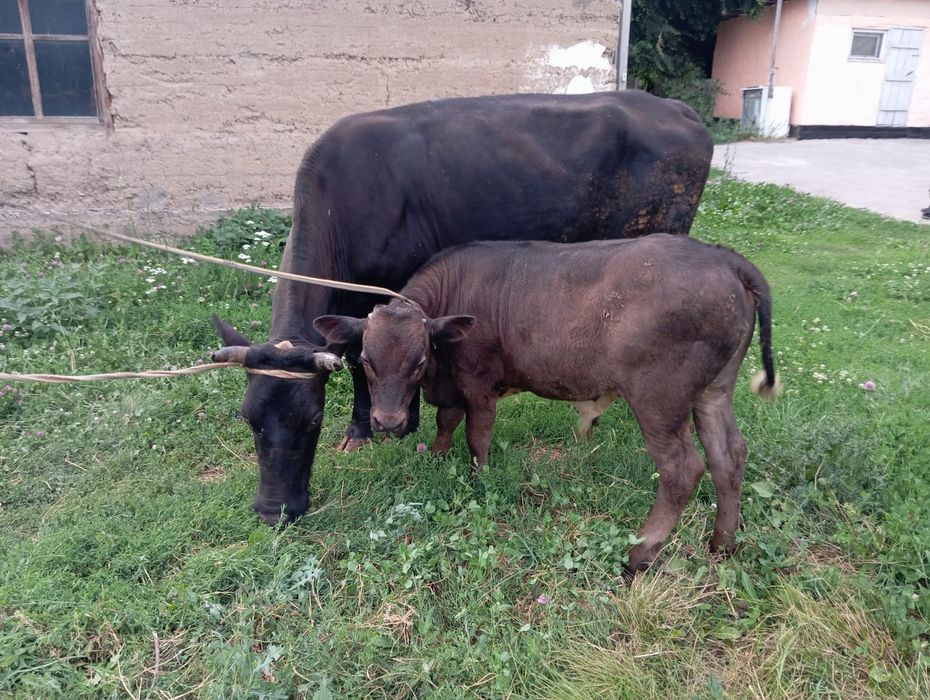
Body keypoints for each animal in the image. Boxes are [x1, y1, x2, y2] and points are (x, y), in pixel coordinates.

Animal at [212, 91, 714, 526]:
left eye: (312, 422)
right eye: (249, 419)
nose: (275, 512)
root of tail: (672, 107)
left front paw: (397, 423)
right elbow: (357, 359)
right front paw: (364, 430)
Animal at [312, 235, 781, 571]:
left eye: (420, 360)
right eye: (366, 360)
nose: (388, 421)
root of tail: (723, 258)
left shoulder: (479, 383)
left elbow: (477, 436)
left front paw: (479, 479)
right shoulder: (453, 386)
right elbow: (447, 422)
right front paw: (437, 459)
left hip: (659, 398)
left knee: (682, 469)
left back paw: (640, 553)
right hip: (713, 390)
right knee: (728, 455)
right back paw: (722, 544)